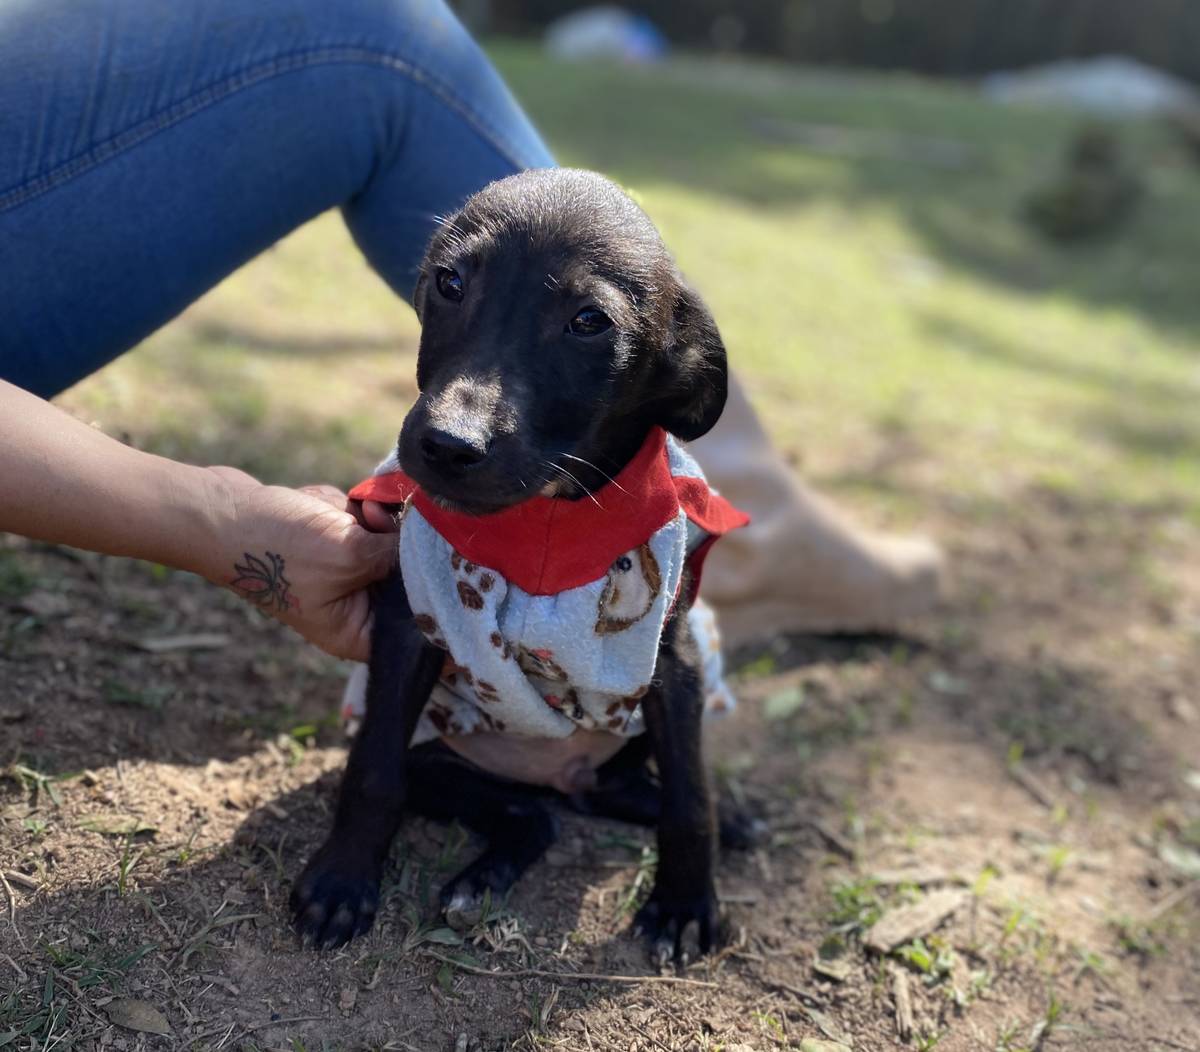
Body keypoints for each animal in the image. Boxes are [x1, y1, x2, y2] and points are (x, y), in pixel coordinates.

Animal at [290, 168, 758, 965]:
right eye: (448, 282)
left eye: (588, 321)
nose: (447, 445)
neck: (546, 519)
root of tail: (559, 775)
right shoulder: (410, 627)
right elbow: (372, 769)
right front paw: (343, 878)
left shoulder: (675, 664)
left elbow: (689, 797)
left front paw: (687, 902)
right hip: (446, 763)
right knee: (531, 818)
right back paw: (479, 882)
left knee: (619, 791)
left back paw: (723, 816)